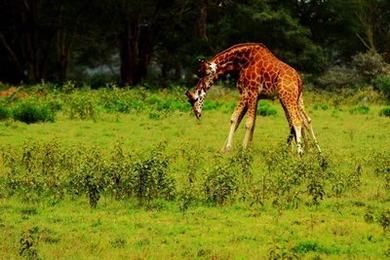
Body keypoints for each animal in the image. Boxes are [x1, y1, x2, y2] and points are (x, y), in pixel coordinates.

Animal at [186, 42, 320, 154]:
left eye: (193, 100)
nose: (197, 114)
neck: (242, 62)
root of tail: (299, 79)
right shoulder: (255, 96)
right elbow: (249, 122)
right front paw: (242, 148)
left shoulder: (248, 92)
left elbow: (240, 120)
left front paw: (237, 149)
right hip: (294, 98)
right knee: (303, 120)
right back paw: (310, 151)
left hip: (288, 96)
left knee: (297, 121)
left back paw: (300, 153)